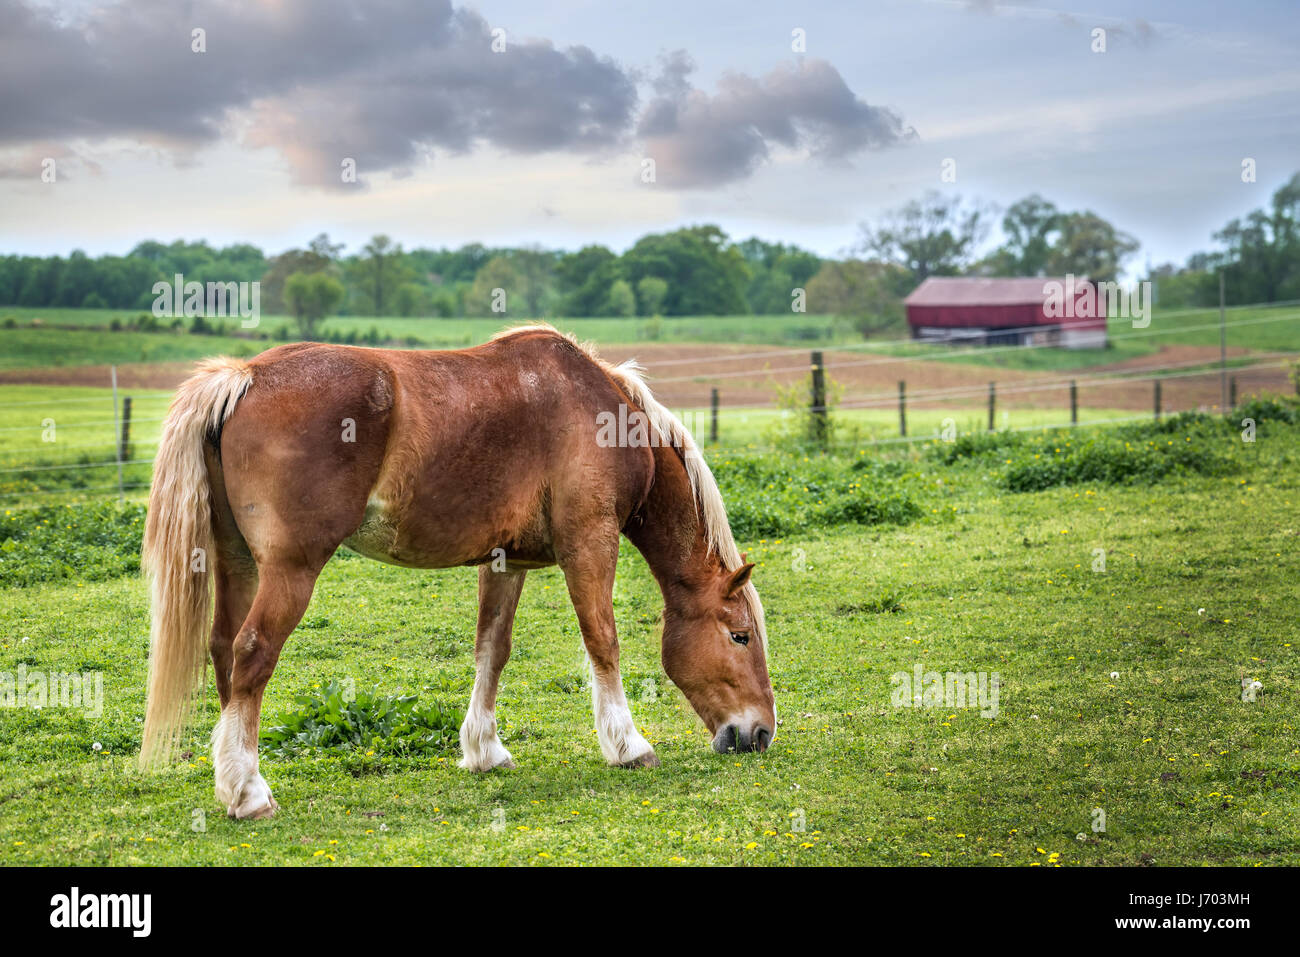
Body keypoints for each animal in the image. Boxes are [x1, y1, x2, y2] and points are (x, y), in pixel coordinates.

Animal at [138, 325, 774, 816]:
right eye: (739, 636)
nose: (761, 733)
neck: (606, 413)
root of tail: (243, 376)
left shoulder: (506, 562)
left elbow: (492, 650)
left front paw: (484, 751)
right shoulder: (590, 543)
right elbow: (603, 639)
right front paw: (628, 745)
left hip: (238, 563)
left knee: (224, 650)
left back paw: (231, 779)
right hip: (291, 570)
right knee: (251, 653)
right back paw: (249, 794)